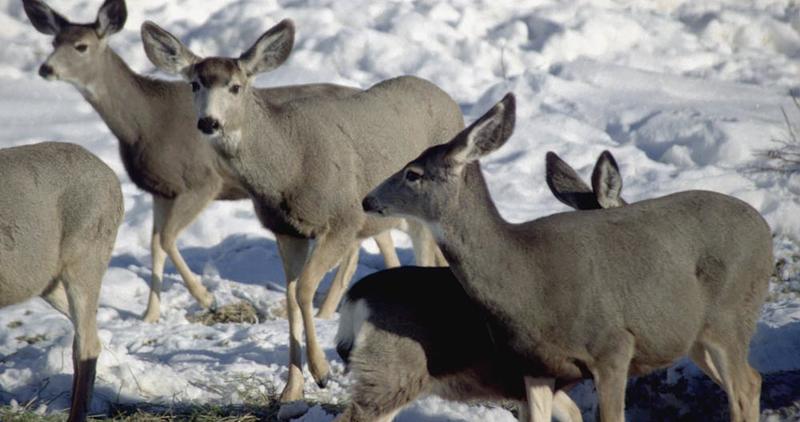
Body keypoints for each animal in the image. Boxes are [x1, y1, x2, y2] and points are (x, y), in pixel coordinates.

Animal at [21, 0, 432, 322]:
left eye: (81, 46)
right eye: (53, 41)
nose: (45, 69)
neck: (143, 122)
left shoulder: (201, 181)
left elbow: (166, 239)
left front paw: (206, 297)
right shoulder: (161, 189)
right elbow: (155, 244)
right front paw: (150, 315)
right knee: (376, 238)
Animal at [138, 20, 462, 406]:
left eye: (235, 86)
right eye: (194, 84)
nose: (209, 122)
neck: (289, 166)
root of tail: (450, 101)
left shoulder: (343, 219)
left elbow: (306, 289)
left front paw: (321, 372)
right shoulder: (286, 231)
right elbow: (291, 298)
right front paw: (291, 389)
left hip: (425, 211)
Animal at [364, 93, 776, 422]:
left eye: (413, 173)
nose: (368, 199)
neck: (525, 277)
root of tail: (764, 229)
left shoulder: (613, 346)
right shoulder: (535, 364)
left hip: (729, 316)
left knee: (743, 387)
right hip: (695, 336)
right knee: (752, 381)